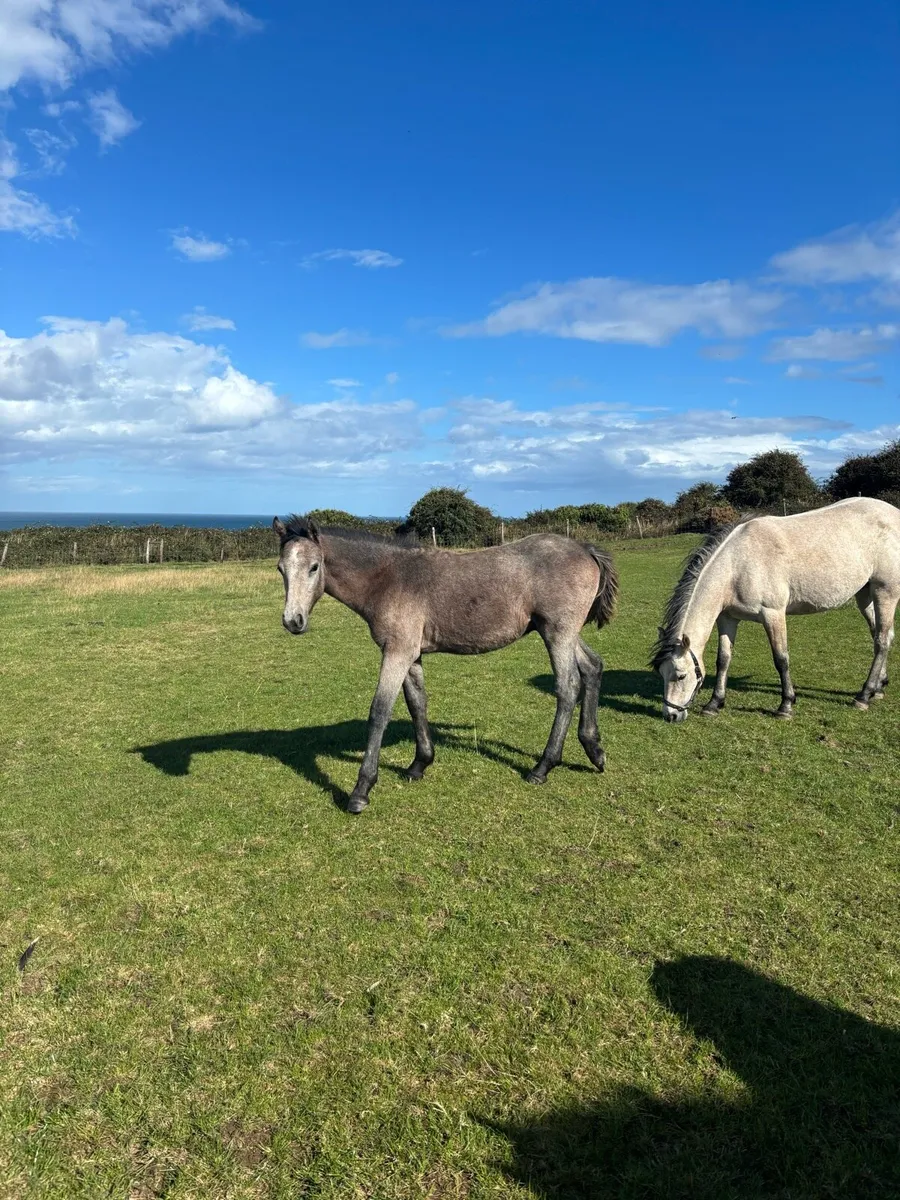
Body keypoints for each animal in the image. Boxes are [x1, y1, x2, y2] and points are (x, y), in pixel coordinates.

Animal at [273, 516, 618, 812]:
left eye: (314, 567)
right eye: (280, 569)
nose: (293, 621)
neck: (388, 578)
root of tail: (585, 549)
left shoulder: (397, 651)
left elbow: (380, 711)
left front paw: (361, 791)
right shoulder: (411, 654)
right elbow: (417, 703)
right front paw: (420, 764)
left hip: (557, 633)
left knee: (568, 686)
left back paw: (543, 767)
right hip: (563, 633)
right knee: (593, 667)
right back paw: (594, 750)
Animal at [651, 497, 900, 722]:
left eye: (681, 676)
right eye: (661, 673)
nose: (670, 715)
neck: (737, 565)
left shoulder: (773, 614)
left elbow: (781, 659)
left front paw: (785, 706)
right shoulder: (727, 618)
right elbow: (723, 660)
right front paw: (714, 703)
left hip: (885, 591)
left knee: (881, 640)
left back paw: (864, 696)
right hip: (865, 594)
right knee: (880, 635)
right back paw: (878, 688)